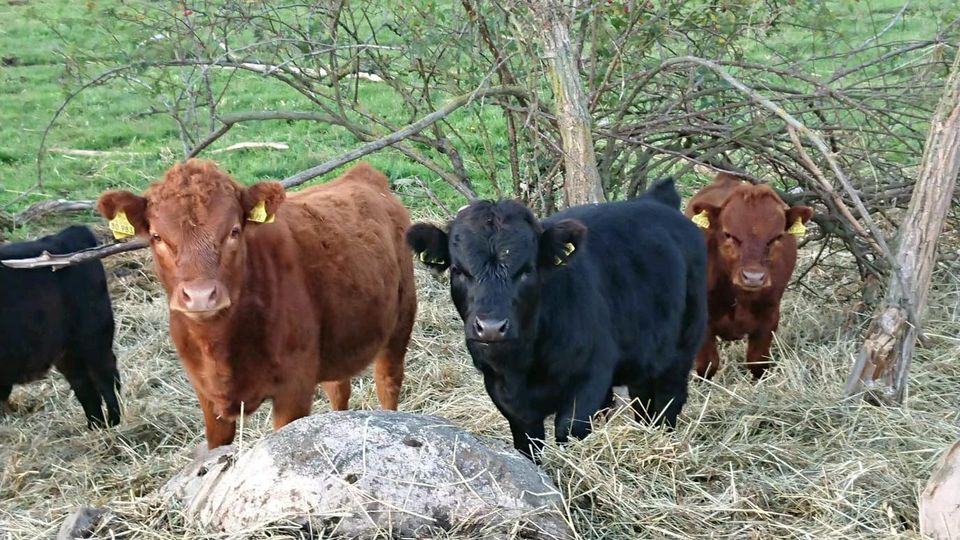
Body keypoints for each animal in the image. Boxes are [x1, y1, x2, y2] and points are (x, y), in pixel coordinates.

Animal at [0, 225, 122, 426]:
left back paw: (114, 423)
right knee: (84, 386)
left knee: (105, 376)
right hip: (67, 350)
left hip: (94, 335)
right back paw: (96, 427)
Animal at [97, 159, 416, 448]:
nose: (200, 295)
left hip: (401, 322)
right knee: (338, 388)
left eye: (234, 231)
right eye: (157, 236)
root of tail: (362, 174)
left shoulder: (293, 390)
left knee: (388, 381)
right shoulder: (206, 396)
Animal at [404, 180, 704, 460]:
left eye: (527, 270)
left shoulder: (590, 375)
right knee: (643, 400)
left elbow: (569, 429)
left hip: (680, 350)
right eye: (458, 270)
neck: (523, 364)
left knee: (668, 399)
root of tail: (656, 200)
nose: (490, 328)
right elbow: (527, 444)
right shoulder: (504, 393)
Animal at [688, 174, 812, 380]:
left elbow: (758, 363)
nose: (753, 277)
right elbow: (707, 365)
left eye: (777, 237)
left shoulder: (769, 319)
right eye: (728, 234)